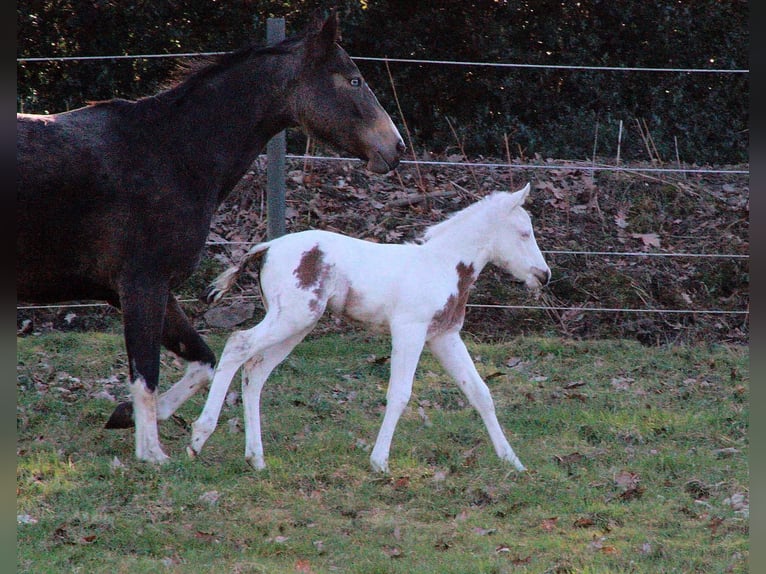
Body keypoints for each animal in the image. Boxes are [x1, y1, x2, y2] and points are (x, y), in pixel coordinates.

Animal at [15, 12, 404, 464]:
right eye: (354, 79)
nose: (396, 147)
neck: (172, 152)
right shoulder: (142, 285)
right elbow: (146, 371)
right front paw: (152, 454)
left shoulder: (147, 290)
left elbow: (203, 361)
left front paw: (126, 417)